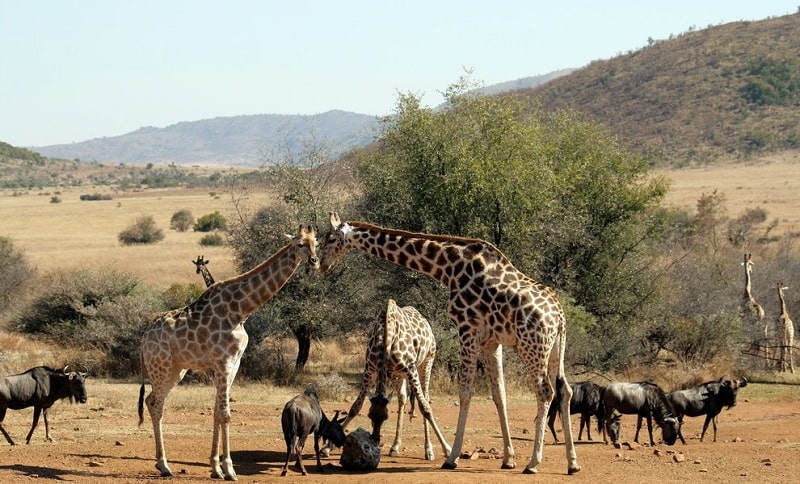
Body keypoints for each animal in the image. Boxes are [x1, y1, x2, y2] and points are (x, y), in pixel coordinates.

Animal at [139, 224, 318, 480]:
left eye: (317, 243)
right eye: (299, 244)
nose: (314, 261)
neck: (241, 310)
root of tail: (144, 338)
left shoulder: (234, 363)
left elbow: (217, 412)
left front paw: (216, 468)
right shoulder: (223, 362)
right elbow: (225, 414)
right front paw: (230, 469)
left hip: (177, 370)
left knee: (152, 401)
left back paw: (162, 464)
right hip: (160, 367)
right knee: (155, 403)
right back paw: (164, 465)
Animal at [324, 298, 450, 462]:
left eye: (385, 417)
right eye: (370, 415)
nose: (376, 439)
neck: (386, 339)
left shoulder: (411, 368)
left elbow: (425, 409)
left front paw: (447, 450)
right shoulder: (370, 370)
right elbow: (355, 408)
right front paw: (327, 448)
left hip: (427, 362)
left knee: (426, 398)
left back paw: (428, 450)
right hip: (399, 374)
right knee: (402, 398)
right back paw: (395, 447)